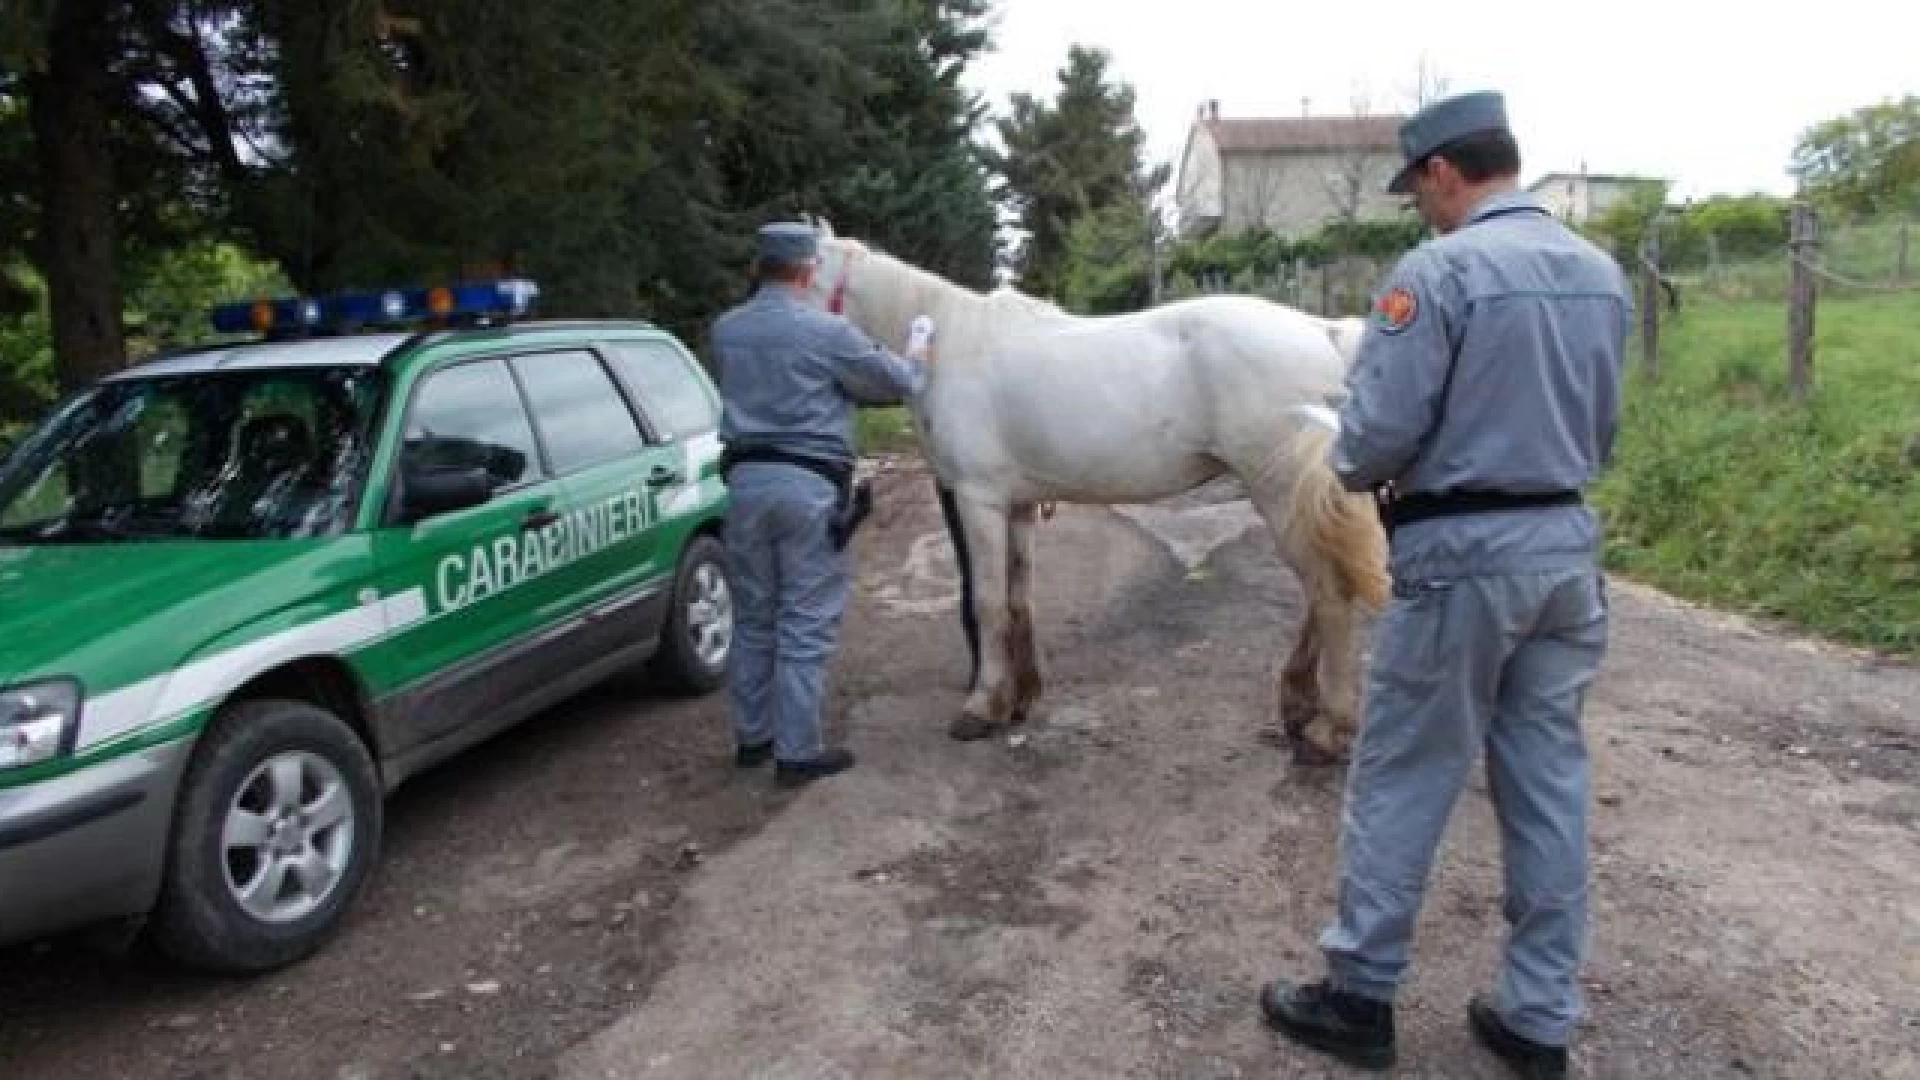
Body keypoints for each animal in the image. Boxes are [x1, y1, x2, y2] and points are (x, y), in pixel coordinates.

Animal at [802, 220, 1390, 757]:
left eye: (803, 278)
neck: (947, 343)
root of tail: (1322, 330)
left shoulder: (979, 500)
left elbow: (988, 602)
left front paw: (983, 706)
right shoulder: (1018, 506)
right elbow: (1018, 599)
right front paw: (1020, 698)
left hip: (1278, 491)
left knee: (1329, 592)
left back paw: (1329, 727)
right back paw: (1298, 704)